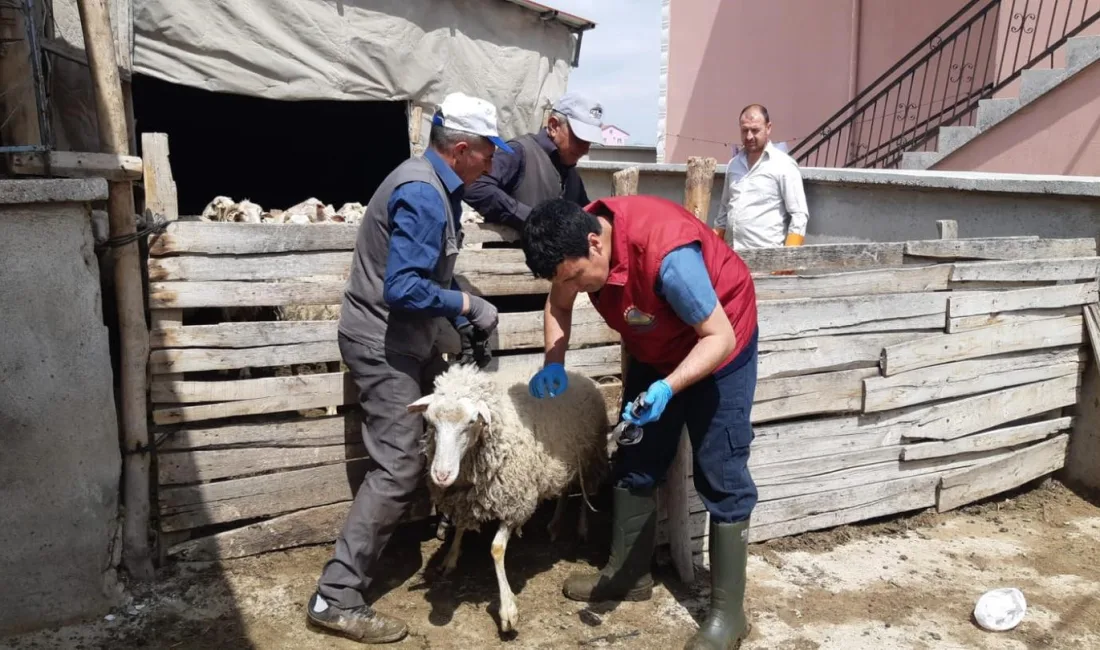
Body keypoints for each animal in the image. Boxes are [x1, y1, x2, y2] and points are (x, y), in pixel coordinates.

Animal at [407, 362, 611, 633]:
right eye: (430, 421)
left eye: (471, 421)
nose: (441, 475)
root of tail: (579, 374)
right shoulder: (468, 498)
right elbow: (460, 526)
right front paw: (451, 558)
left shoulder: (515, 503)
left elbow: (496, 549)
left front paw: (508, 610)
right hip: (562, 458)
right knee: (565, 489)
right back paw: (555, 525)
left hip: (589, 454)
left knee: (586, 492)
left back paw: (581, 528)